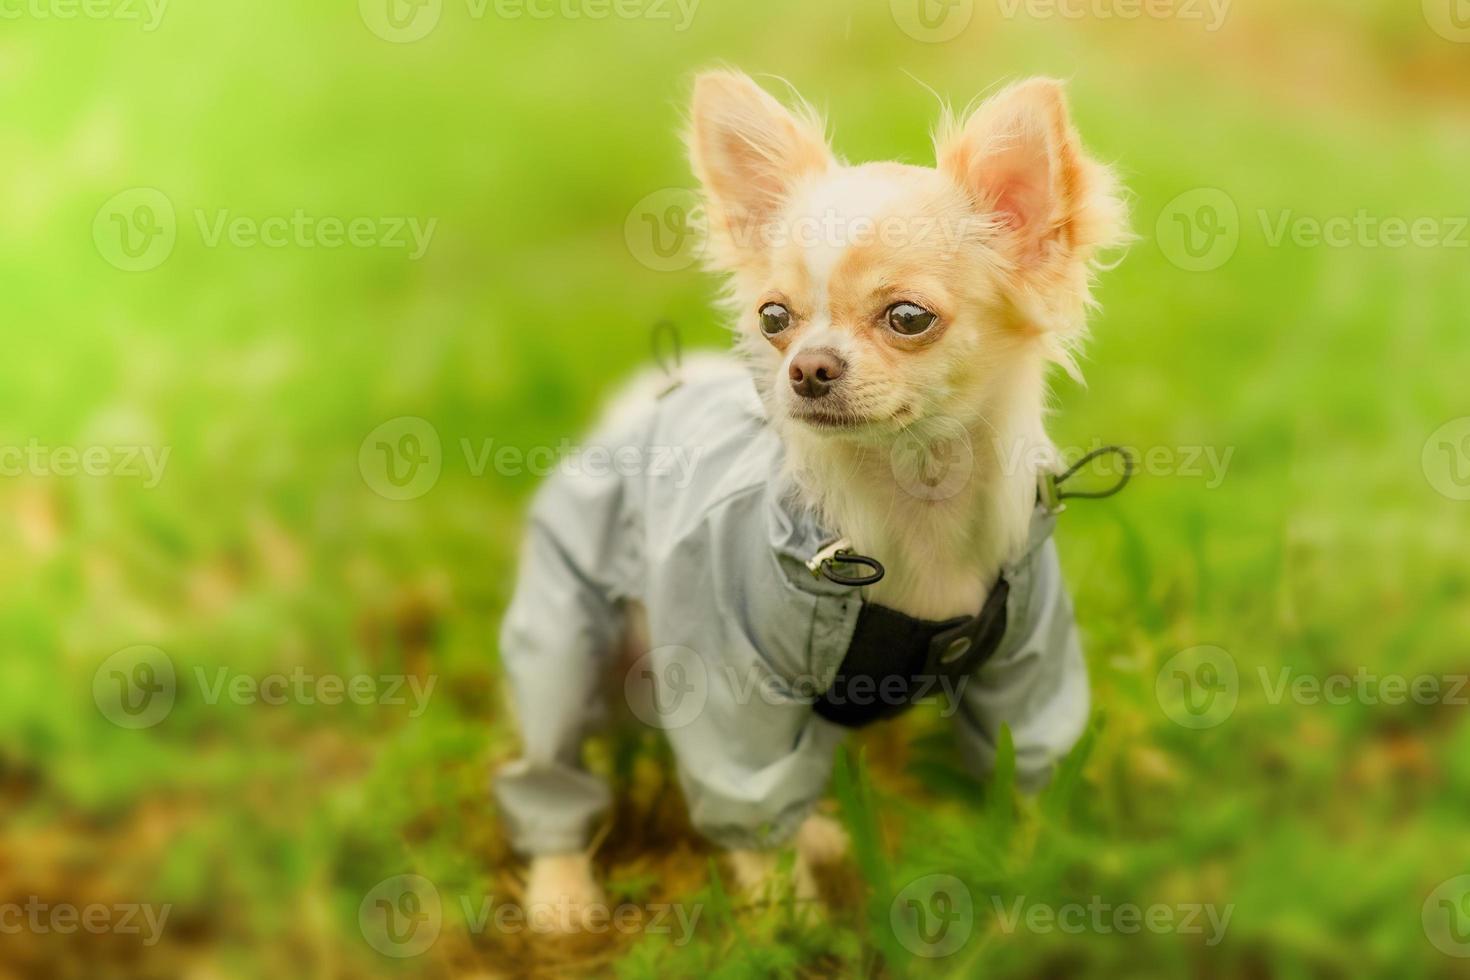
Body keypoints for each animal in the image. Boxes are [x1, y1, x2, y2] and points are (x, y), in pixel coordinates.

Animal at [493, 67, 1123, 928]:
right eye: (773, 319)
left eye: (908, 317)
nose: (807, 368)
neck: (912, 497)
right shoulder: (731, 686)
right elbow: (754, 817)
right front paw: (785, 926)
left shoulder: (1030, 665)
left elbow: (1027, 775)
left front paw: (1035, 887)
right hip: (566, 637)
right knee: (552, 756)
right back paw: (562, 892)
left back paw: (823, 833)